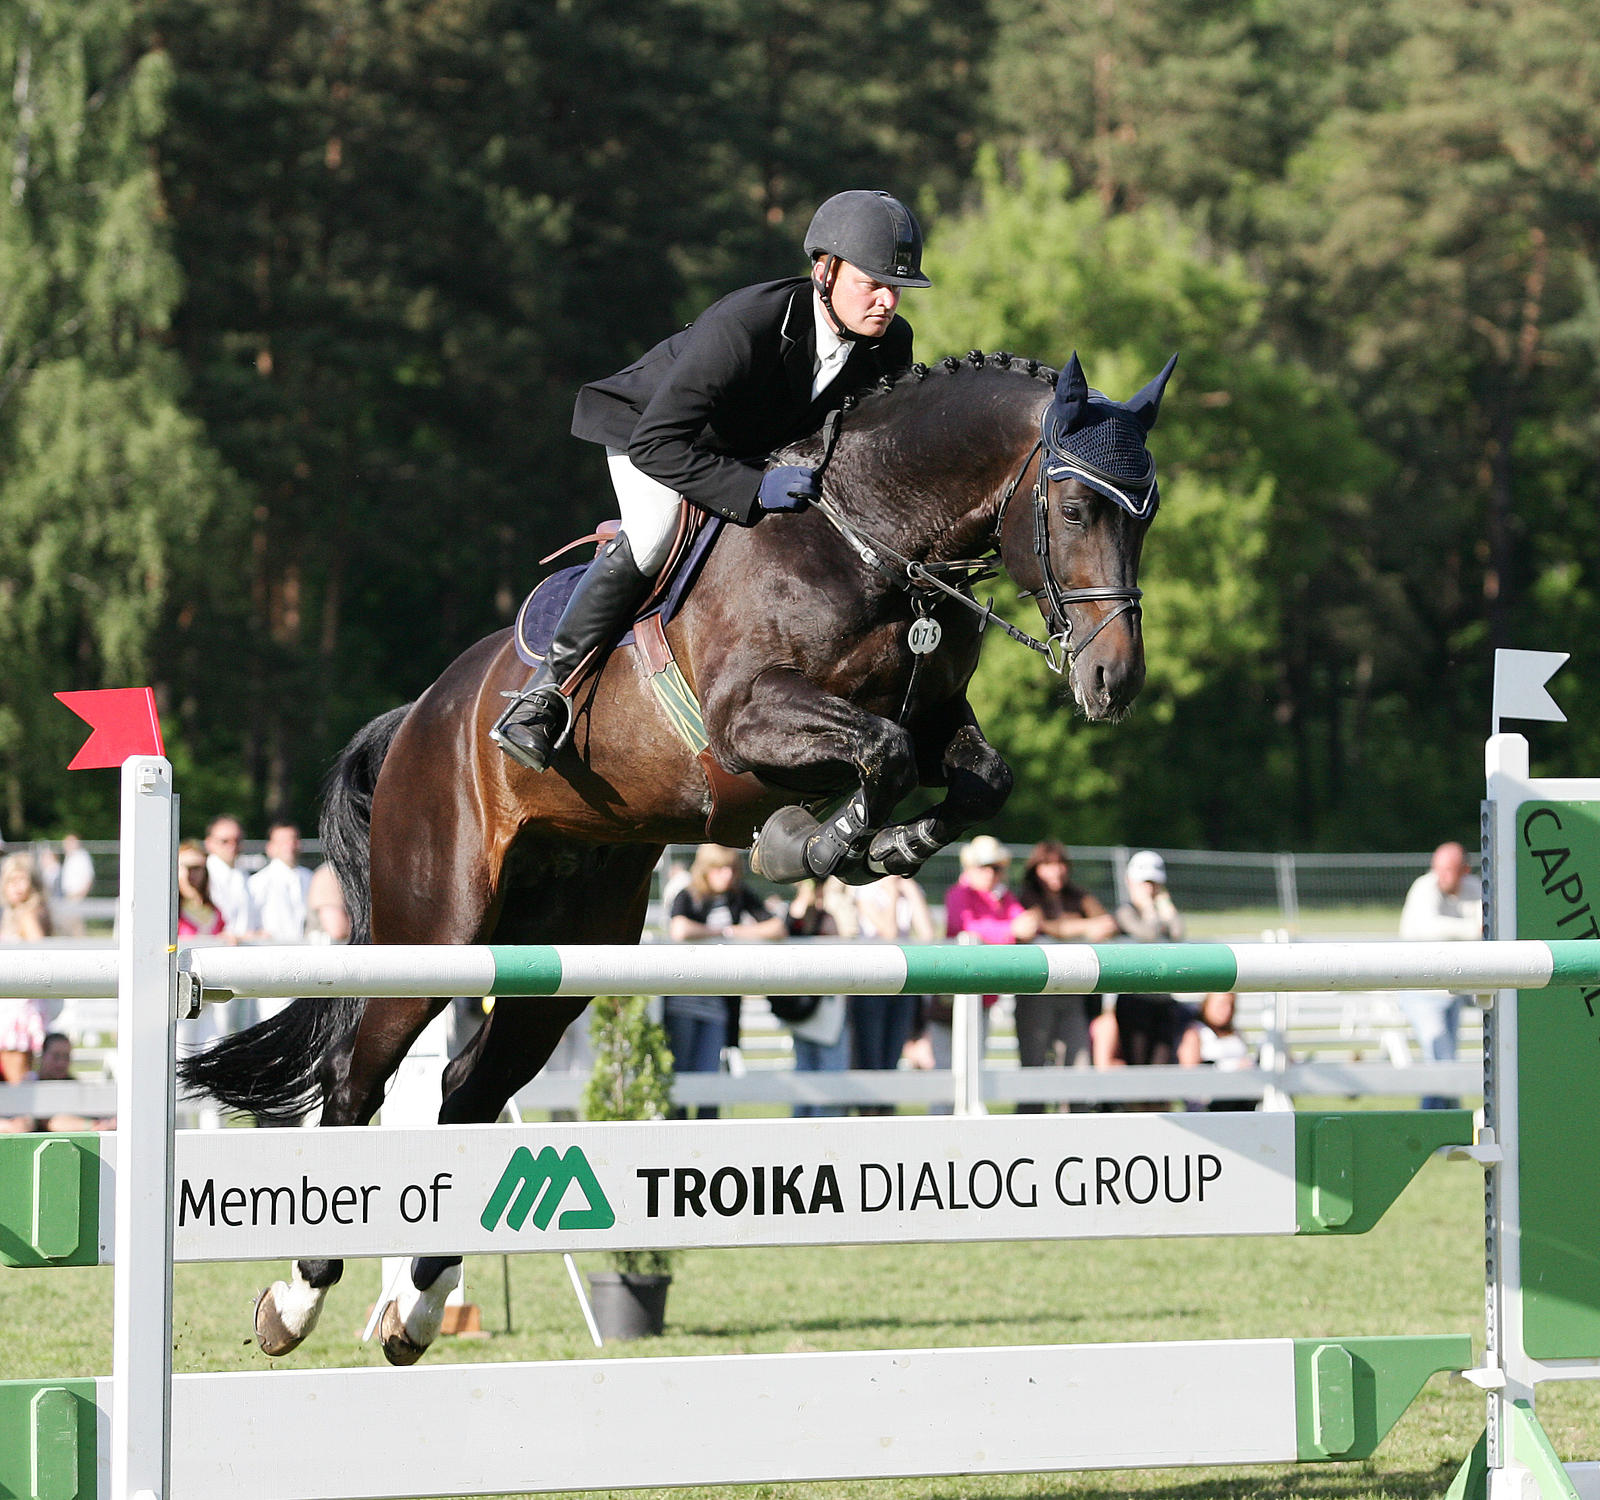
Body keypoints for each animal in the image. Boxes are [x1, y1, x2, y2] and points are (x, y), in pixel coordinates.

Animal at [181, 345, 1177, 1362]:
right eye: (1073, 508)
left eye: (1147, 511)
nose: (1114, 682)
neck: (875, 541)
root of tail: (420, 714)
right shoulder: (750, 720)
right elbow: (883, 753)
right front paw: (809, 843)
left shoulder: (935, 716)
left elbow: (977, 778)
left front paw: (876, 842)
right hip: (434, 931)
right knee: (355, 1084)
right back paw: (295, 1301)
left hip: (565, 954)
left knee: (468, 1088)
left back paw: (417, 1307)